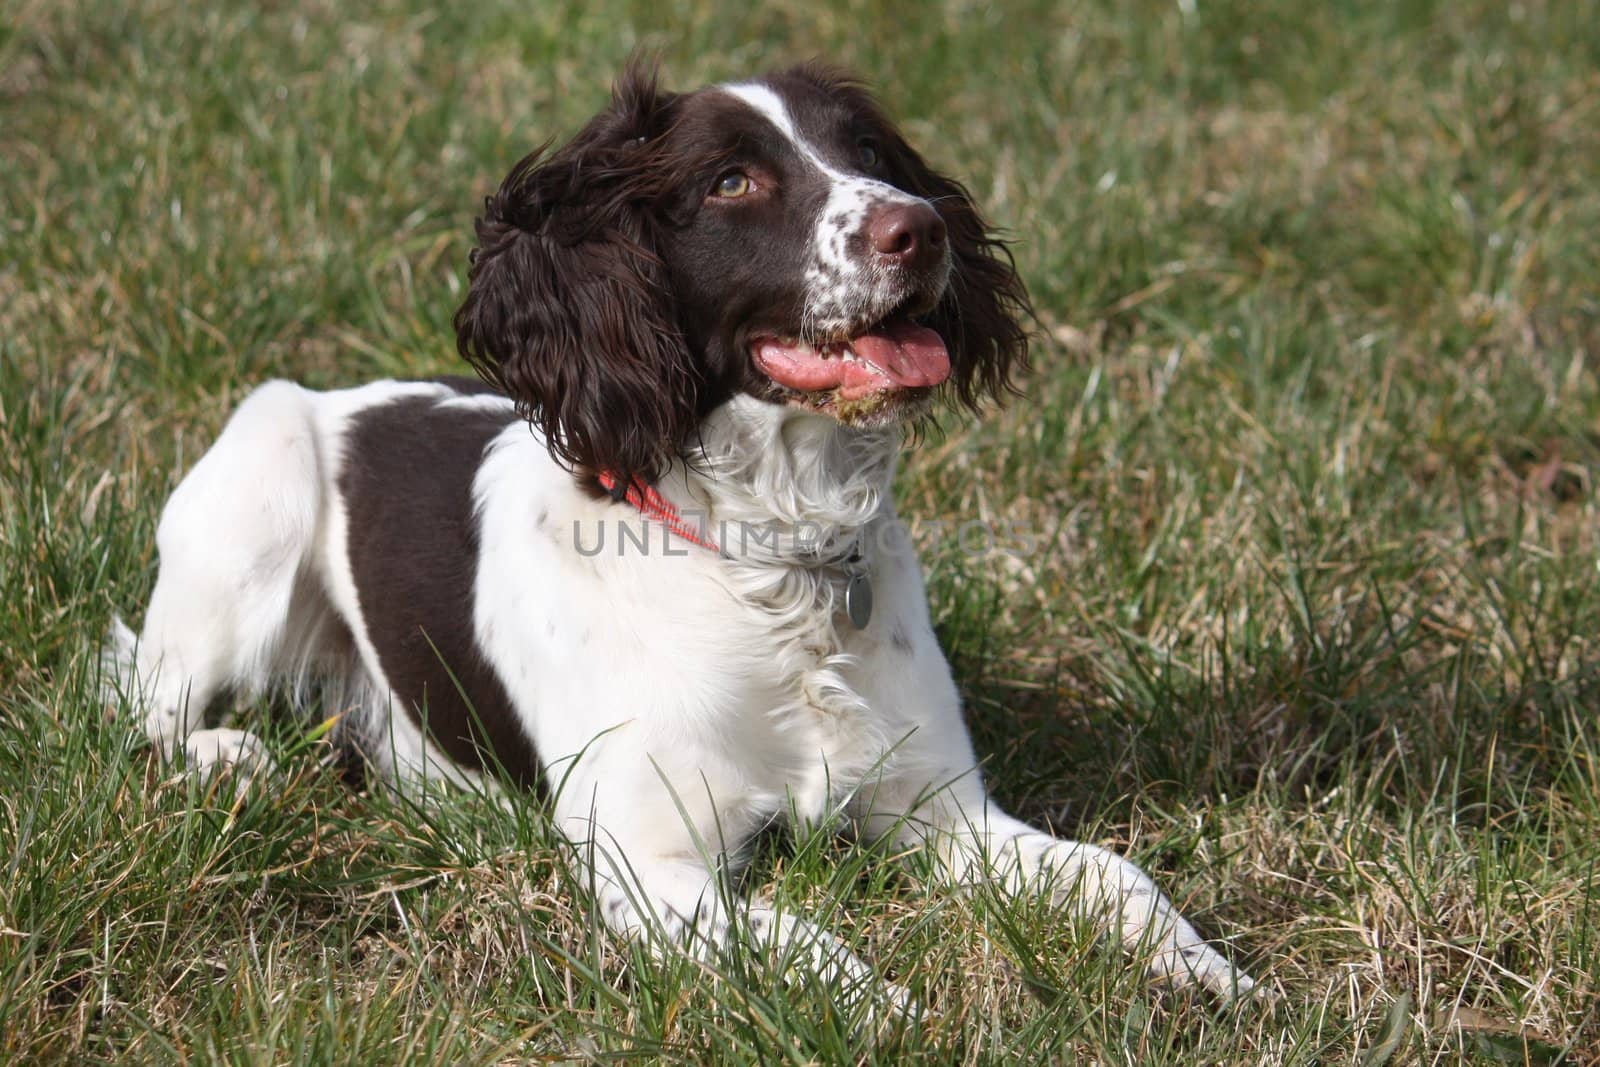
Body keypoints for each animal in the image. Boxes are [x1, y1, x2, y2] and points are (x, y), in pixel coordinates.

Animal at [106, 60, 1254, 1011]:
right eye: (731, 182)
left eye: (869, 152)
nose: (918, 228)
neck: (766, 558)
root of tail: (333, 393)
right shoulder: (646, 864)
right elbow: (811, 945)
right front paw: (897, 1009)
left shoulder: (945, 810)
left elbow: (1118, 874)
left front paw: (1213, 972)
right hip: (258, 490)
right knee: (146, 701)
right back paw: (228, 751)